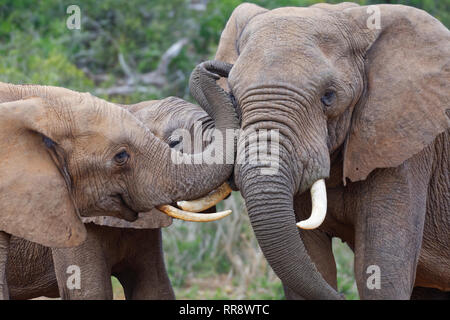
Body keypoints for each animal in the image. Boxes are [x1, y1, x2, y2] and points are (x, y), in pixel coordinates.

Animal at [199, 1, 448, 300]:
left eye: (328, 97)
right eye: (233, 97)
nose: (214, 68)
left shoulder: (403, 144)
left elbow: (380, 270)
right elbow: (312, 257)